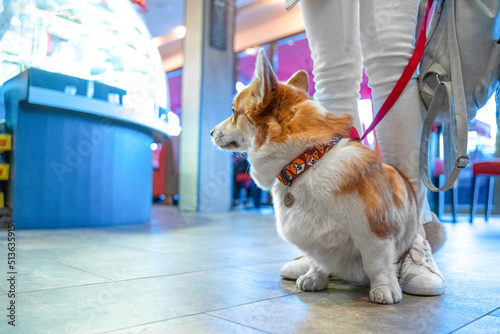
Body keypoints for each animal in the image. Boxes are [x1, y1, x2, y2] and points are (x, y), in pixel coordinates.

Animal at [211, 50, 422, 306]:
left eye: (233, 112)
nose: (210, 132)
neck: (306, 162)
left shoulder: (374, 229)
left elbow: (376, 263)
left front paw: (384, 289)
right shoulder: (312, 238)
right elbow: (317, 260)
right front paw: (315, 278)